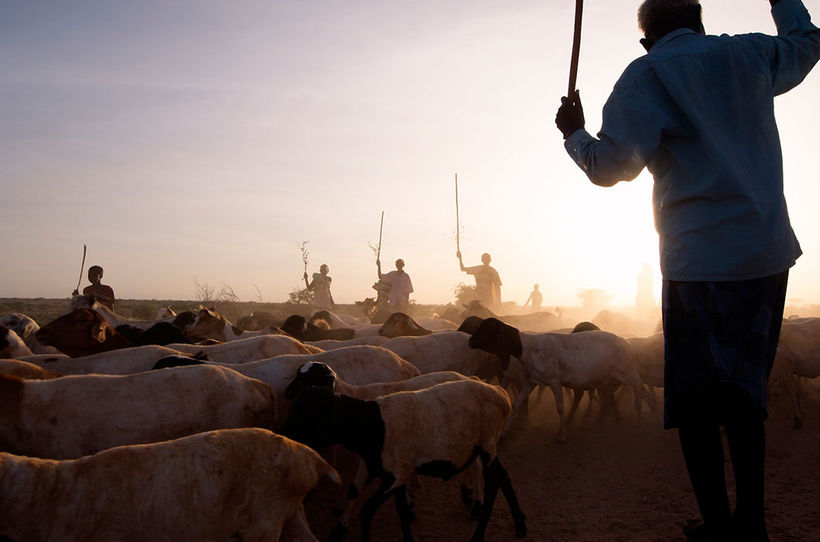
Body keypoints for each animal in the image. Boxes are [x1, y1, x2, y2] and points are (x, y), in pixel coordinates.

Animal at [282, 380, 524, 540]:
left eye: (305, 412)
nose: (285, 436)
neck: (371, 423)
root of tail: (501, 394)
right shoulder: (400, 473)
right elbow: (401, 512)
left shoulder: (397, 475)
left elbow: (367, 511)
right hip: (486, 447)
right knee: (504, 477)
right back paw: (520, 524)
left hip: (487, 444)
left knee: (493, 485)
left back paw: (480, 532)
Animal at [468, 318, 652, 442]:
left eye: (488, 329)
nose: (470, 341)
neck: (527, 348)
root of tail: (628, 344)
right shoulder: (532, 381)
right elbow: (518, 402)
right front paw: (503, 433)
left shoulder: (554, 381)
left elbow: (560, 408)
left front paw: (562, 435)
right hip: (609, 381)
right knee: (611, 399)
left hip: (630, 373)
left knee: (646, 395)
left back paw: (651, 422)